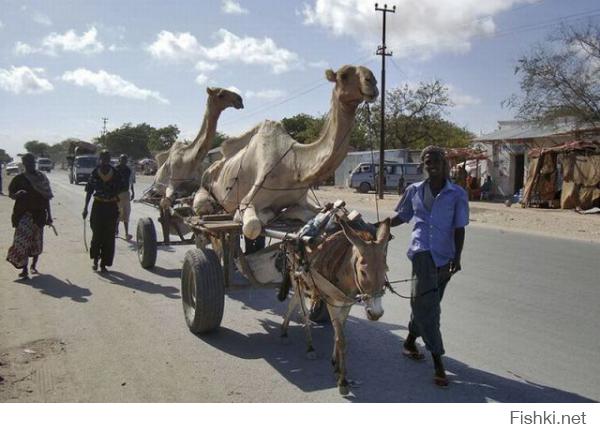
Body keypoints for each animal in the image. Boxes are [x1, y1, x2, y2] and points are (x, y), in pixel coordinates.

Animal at [193, 65, 380, 238]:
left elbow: (312, 211)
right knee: (204, 204)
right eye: (343, 75)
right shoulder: (246, 203)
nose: (372, 82)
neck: (293, 166)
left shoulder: (302, 200)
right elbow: (252, 226)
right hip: (204, 189)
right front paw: (269, 214)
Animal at [282, 218, 394, 394]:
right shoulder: (332, 304)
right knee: (302, 312)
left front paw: (335, 365)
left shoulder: (346, 305)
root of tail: (296, 233)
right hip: (297, 280)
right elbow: (341, 339)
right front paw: (343, 381)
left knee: (295, 305)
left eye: (386, 270)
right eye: (363, 272)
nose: (376, 314)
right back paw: (309, 347)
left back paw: (286, 332)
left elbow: (338, 332)